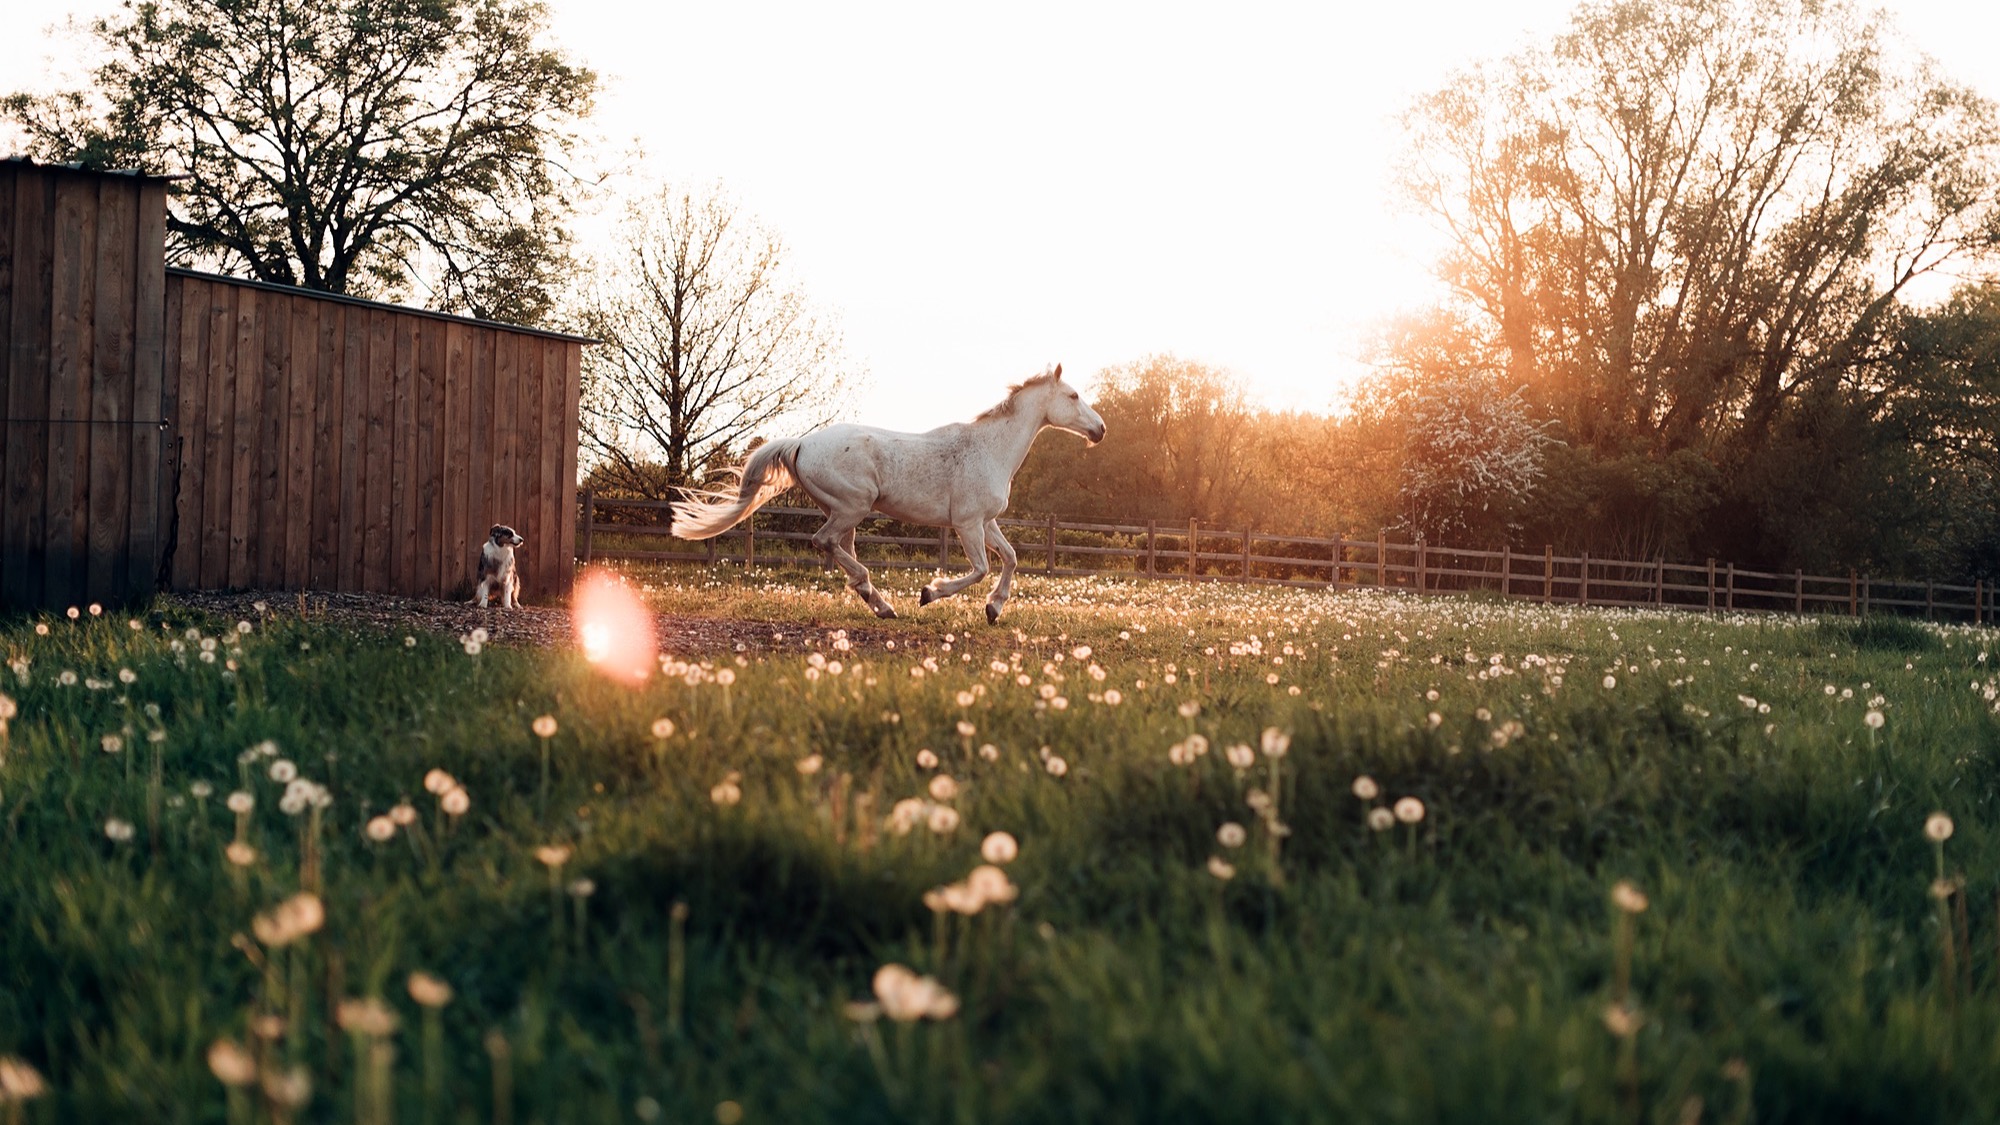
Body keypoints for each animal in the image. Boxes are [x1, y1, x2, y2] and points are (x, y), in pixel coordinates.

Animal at [672, 360, 1112, 616]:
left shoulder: (986, 522)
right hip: (853, 506)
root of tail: (801, 442)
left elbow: (1011, 558)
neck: (990, 448)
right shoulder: (967, 524)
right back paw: (880, 599)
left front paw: (994, 608)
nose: (1101, 430)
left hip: (843, 511)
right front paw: (929, 593)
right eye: (1073, 395)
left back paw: (879, 603)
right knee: (824, 542)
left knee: (839, 548)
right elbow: (981, 568)